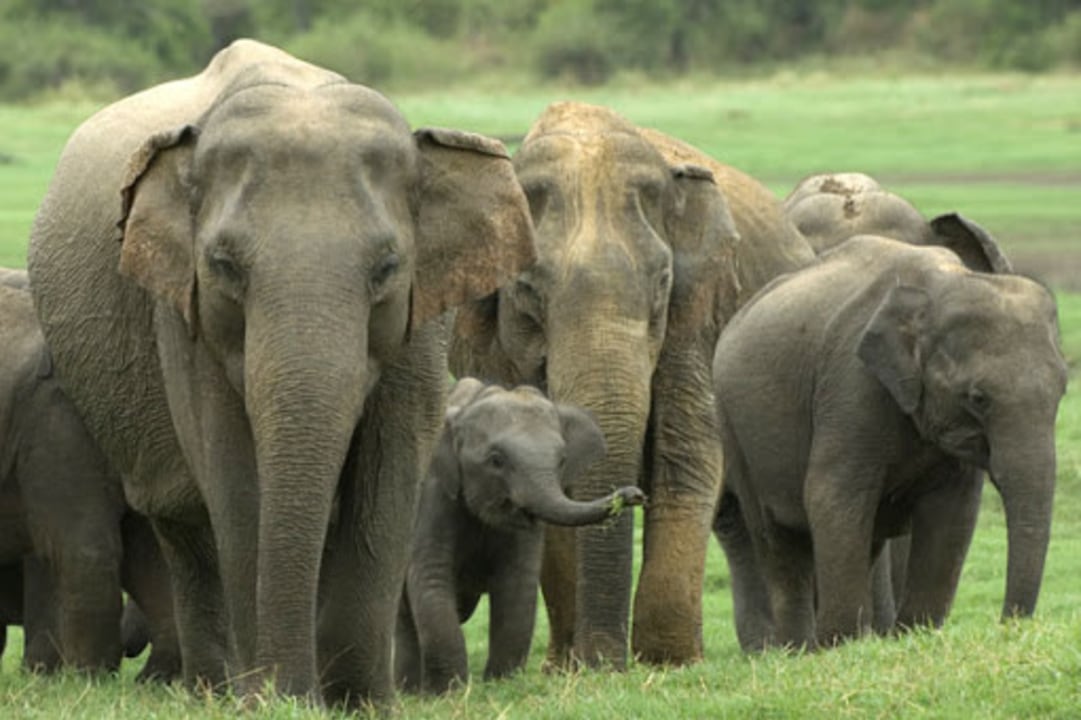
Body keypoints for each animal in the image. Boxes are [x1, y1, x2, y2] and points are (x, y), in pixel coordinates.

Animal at [26, 39, 535, 705]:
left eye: (388, 267)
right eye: (223, 265)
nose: (287, 692)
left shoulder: (424, 314)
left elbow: (390, 468)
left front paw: (361, 701)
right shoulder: (184, 315)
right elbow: (235, 476)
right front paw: (274, 699)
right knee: (184, 522)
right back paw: (215, 690)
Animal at [395, 377, 646, 693]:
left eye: (562, 460)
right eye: (495, 460)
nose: (635, 494)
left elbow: (517, 585)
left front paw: (502, 683)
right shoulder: (432, 495)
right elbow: (431, 577)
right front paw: (449, 693)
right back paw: (408, 690)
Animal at [450, 100, 816, 668]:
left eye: (663, 283)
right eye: (527, 290)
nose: (629, 495)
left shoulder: (699, 318)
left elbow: (686, 452)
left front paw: (668, 663)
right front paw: (569, 668)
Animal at [711, 234, 1067, 651]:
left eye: (1063, 389)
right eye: (978, 398)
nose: (1008, 624)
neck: (945, 282)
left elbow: (954, 510)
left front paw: (915, 633)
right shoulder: (852, 384)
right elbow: (832, 494)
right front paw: (841, 644)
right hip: (733, 427)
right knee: (777, 538)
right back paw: (799, 648)